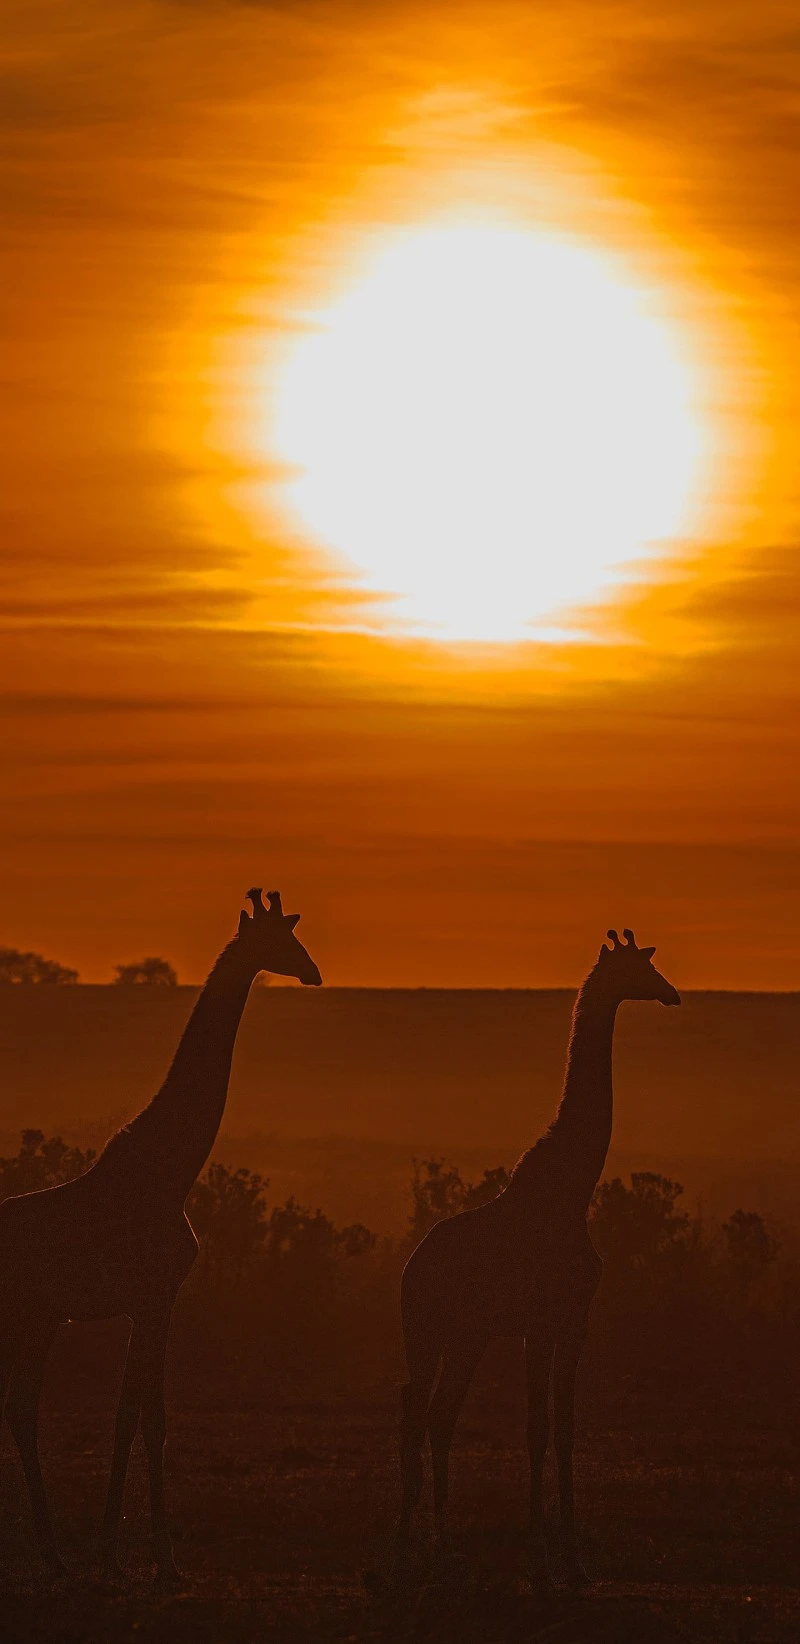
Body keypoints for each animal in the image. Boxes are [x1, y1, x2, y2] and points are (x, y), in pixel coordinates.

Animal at [0, 887, 321, 1581]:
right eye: (281, 939)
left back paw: (53, 1553)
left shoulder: (148, 1304)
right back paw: (55, 1552)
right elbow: (140, 1417)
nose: (313, 972)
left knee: (21, 1413)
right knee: (22, 1411)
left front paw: (125, 1553)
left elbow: (144, 1415)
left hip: (36, 1320)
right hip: (33, 1318)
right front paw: (144, 1556)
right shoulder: (155, 1299)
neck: (172, 1171)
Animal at [396, 928, 680, 1587]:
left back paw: (415, 1534)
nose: (673, 994)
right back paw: (435, 1536)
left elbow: (540, 1428)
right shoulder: (569, 1319)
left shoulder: (536, 1328)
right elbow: (560, 1427)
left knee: (420, 1416)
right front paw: (564, 1538)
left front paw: (538, 1529)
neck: (574, 1187)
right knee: (434, 1415)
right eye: (640, 969)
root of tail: (409, 1274)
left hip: (437, 1335)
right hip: (456, 1334)